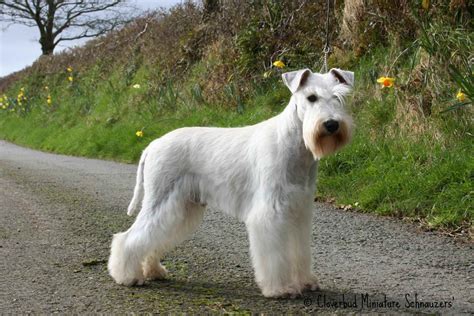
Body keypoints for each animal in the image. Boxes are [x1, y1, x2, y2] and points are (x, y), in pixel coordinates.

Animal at [107, 68, 352, 298]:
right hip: (161, 201)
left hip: (180, 208)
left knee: (152, 239)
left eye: (339, 97)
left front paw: (305, 281)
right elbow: (275, 257)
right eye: (311, 97)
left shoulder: (298, 211)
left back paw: (153, 271)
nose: (331, 124)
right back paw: (127, 276)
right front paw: (281, 288)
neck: (294, 143)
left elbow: (298, 251)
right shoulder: (271, 215)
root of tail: (153, 144)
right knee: (129, 238)